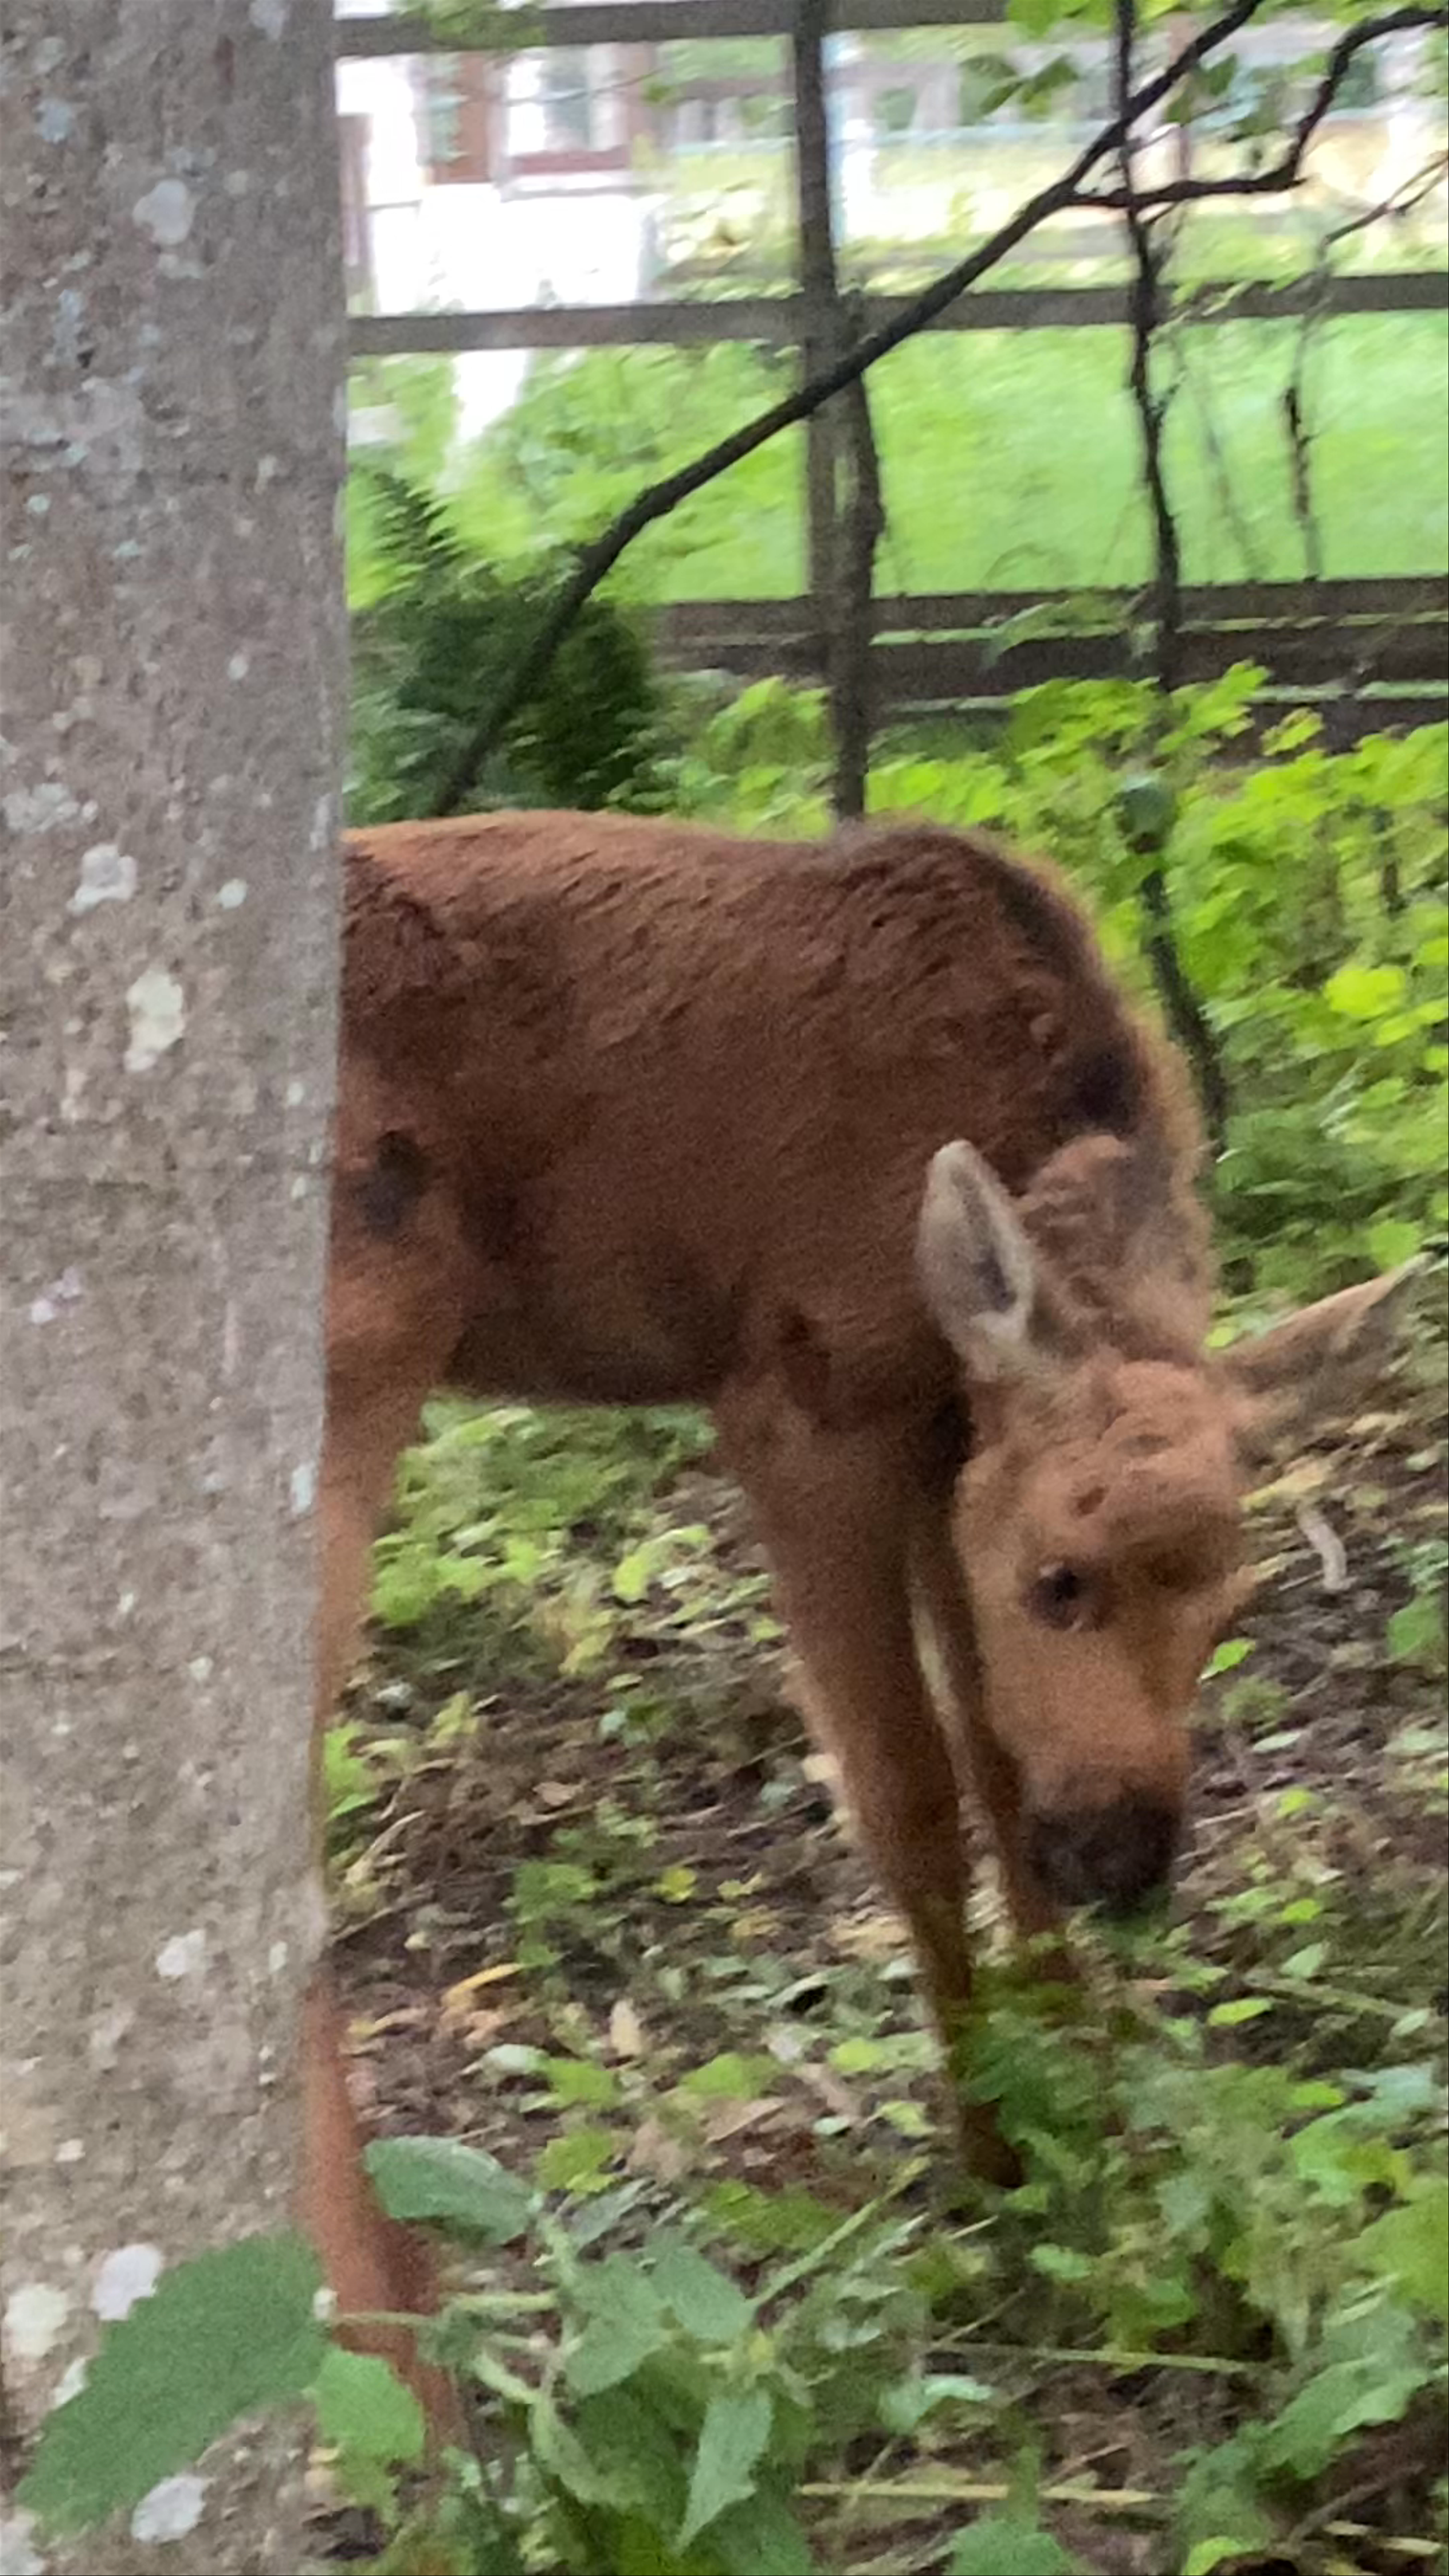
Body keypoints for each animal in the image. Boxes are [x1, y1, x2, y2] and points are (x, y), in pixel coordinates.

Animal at [300, 805, 1416, 2409]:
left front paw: (1086, 2128)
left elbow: (1002, 1770)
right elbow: (910, 1794)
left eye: (1232, 1602)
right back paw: (407, 2369)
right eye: (1059, 1578)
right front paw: (994, 2157)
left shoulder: (952, 1443)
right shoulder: (801, 1401)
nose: (1128, 1856)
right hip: (360, 1353)